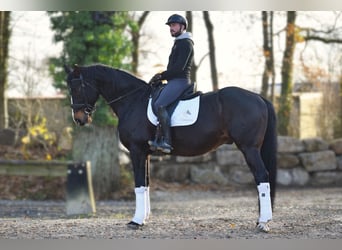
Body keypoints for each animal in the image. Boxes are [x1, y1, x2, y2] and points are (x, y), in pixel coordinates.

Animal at [65, 64, 278, 232]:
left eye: (77, 87)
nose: (79, 119)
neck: (133, 101)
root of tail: (259, 97)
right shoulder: (145, 153)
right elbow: (146, 183)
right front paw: (145, 218)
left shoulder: (136, 150)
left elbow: (139, 185)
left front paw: (136, 221)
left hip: (249, 148)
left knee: (262, 177)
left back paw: (263, 222)